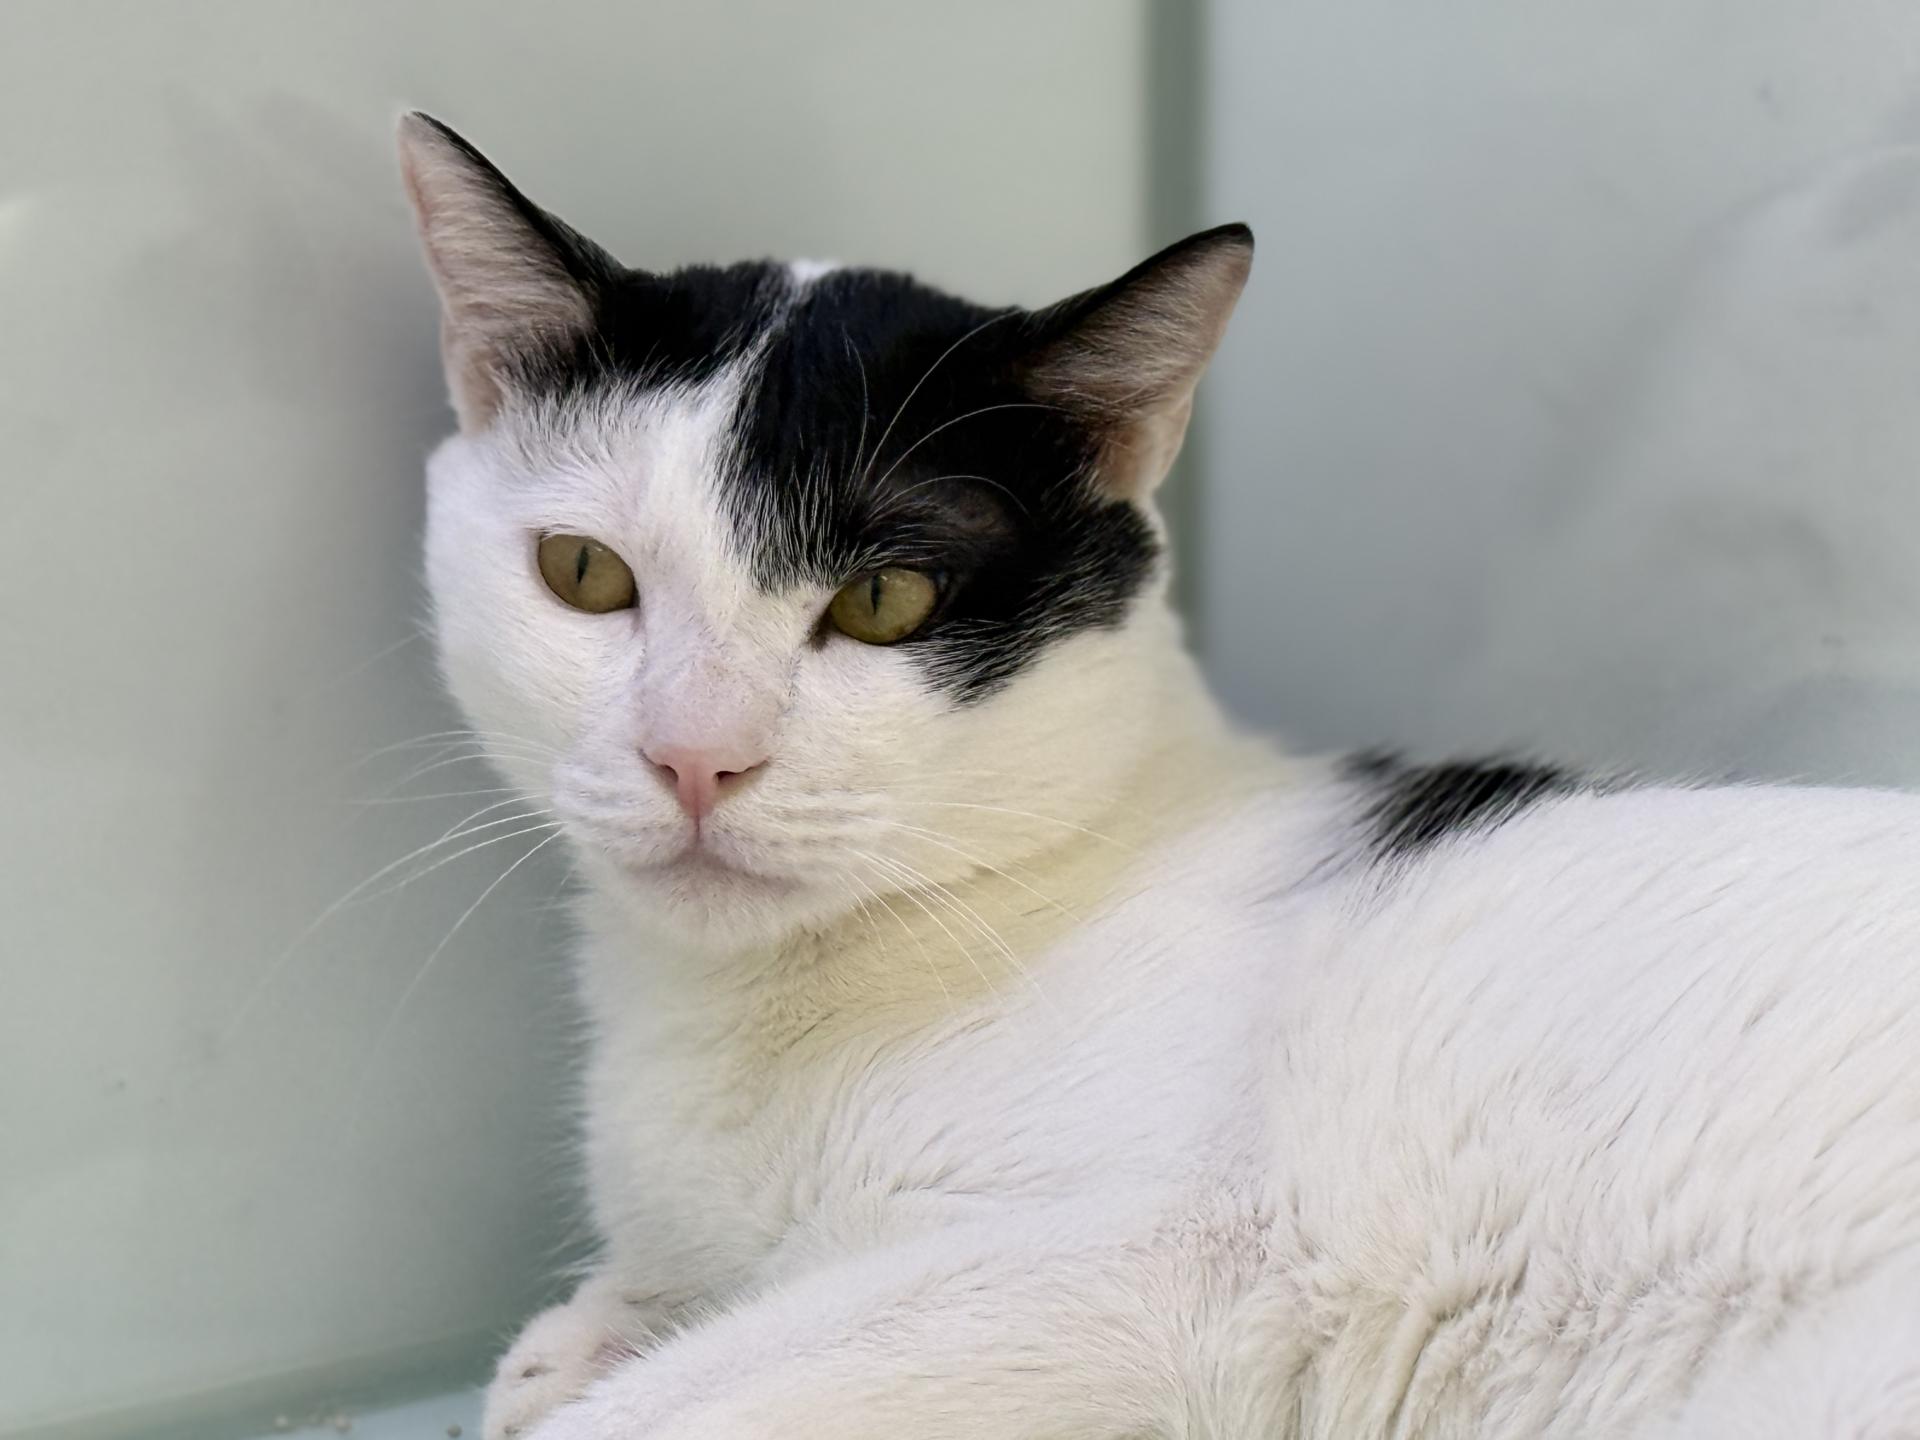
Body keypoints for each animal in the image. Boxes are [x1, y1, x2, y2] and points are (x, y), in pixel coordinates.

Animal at [398, 112, 1920, 1440]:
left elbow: (658, 1404)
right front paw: (582, 1334)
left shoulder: (1142, 1263)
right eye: (585, 574)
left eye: (885, 600)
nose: (696, 754)